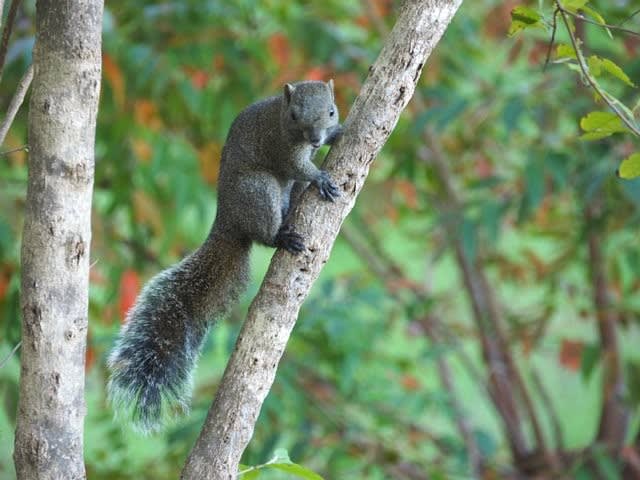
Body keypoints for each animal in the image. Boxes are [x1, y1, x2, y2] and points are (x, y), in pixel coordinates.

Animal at [107, 80, 342, 434]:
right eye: (293, 115)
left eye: (330, 111)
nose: (315, 139)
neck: (281, 119)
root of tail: (228, 221)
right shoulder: (282, 147)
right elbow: (299, 167)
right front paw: (321, 178)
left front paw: (338, 133)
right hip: (259, 190)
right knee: (265, 234)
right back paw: (282, 236)